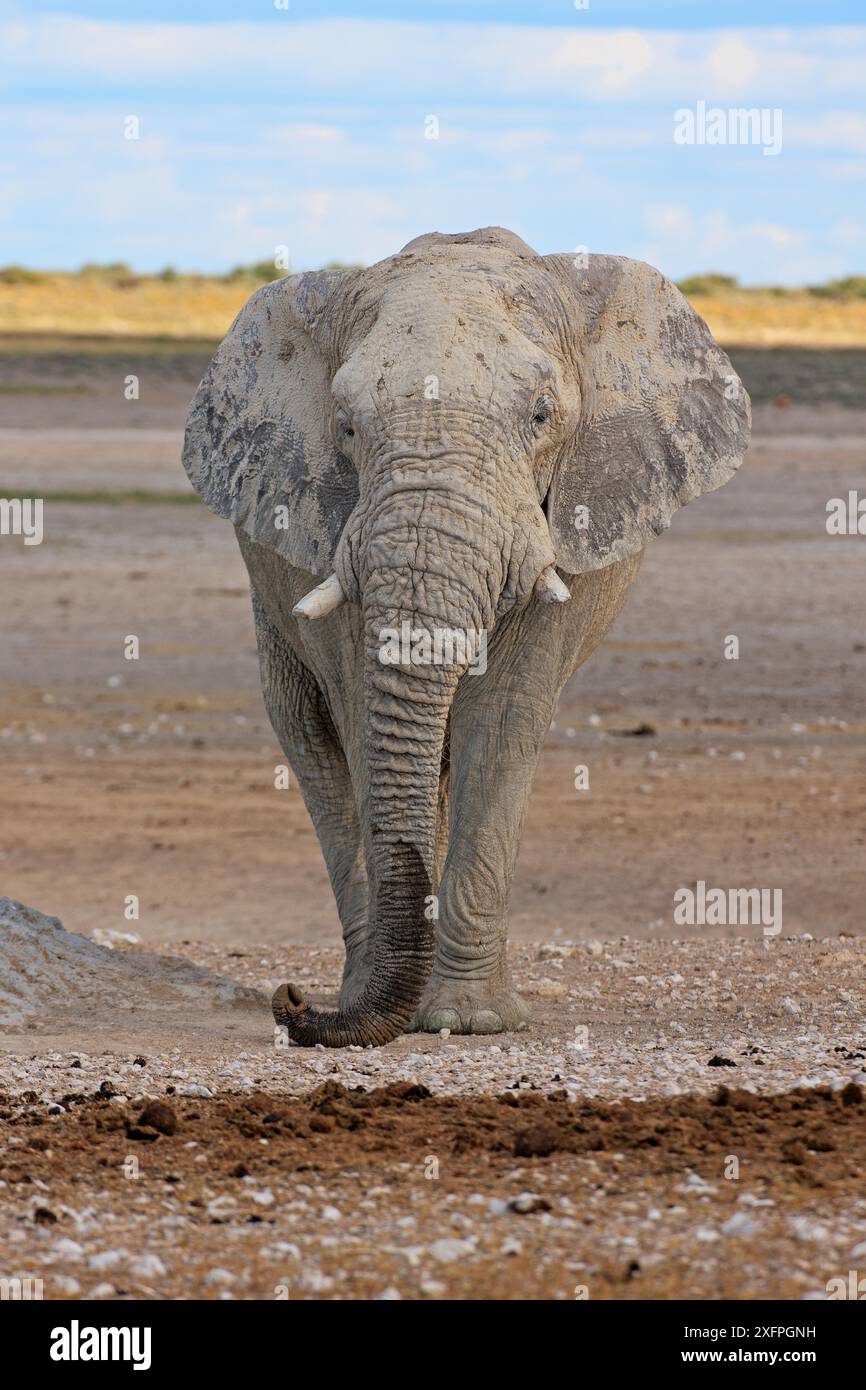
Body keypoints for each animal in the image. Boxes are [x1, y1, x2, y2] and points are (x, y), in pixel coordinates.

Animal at [184, 227, 750, 1045]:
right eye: (345, 426)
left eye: (542, 415)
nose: (290, 1000)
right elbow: (363, 721)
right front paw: (418, 1010)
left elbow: (503, 718)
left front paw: (469, 1021)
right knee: (312, 740)